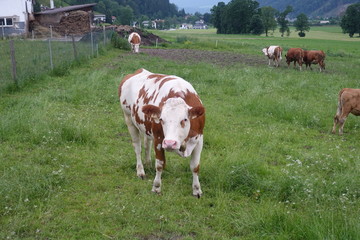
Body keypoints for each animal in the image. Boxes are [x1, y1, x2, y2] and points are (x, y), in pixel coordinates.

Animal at [119, 67, 205, 197]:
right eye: (161, 119)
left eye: (184, 119)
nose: (170, 143)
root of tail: (139, 71)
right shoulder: (159, 139)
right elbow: (160, 165)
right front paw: (156, 187)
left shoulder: (199, 140)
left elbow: (195, 166)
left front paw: (196, 190)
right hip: (128, 119)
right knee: (137, 147)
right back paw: (140, 171)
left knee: (146, 144)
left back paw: (148, 163)